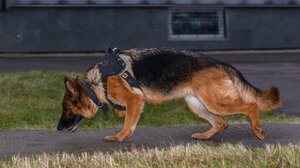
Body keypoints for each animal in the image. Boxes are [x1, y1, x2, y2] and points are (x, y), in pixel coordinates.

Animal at [56, 48, 282, 141]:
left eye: (65, 108)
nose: (58, 129)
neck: (95, 83)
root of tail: (220, 63)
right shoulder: (135, 102)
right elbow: (123, 113)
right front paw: (119, 113)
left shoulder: (135, 99)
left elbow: (128, 124)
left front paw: (118, 137)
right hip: (197, 104)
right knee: (221, 123)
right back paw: (204, 136)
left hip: (216, 102)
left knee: (250, 106)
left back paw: (257, 130)